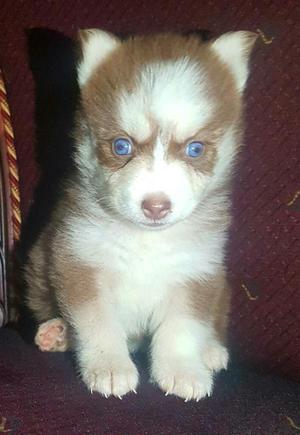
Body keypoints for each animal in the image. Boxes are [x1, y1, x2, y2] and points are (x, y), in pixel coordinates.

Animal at [24, 30, 256, 404]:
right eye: (121, 146)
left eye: (195, 149)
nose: (156, 205)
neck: (146, 240)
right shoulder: (79, 259)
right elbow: (98, 323)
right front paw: (109, 366)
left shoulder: (197, 271)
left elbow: (182, 327)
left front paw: (183, 369)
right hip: (37, 267)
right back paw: (57, 332)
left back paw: (210, 351)